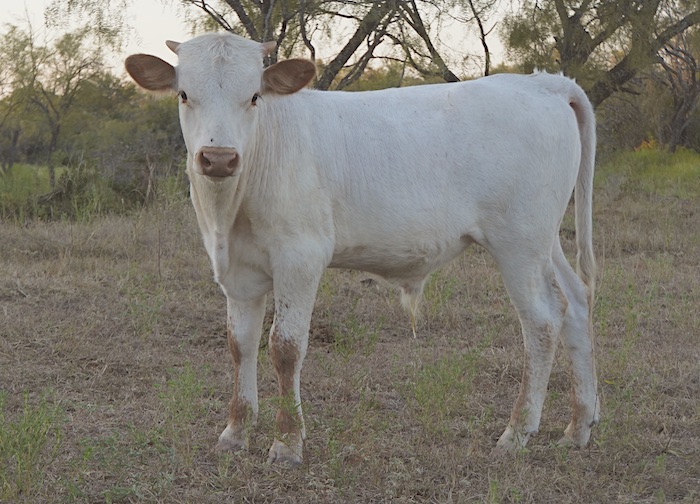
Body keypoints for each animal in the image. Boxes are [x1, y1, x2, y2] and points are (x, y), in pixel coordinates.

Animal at [124, 30, 596, 464]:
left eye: (254, 96)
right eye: (184, 94)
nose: (219, 158)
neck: (230, 212)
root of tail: (543, 83)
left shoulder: (300, 257)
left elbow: (285, 347)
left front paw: (287, 442)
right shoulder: (236, 271)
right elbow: (240, 344)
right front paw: (235, 432)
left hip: (519, 242)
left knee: (542, 321)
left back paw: (517, 432)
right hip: (545, 241)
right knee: (574, 303)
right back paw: (578, 427)